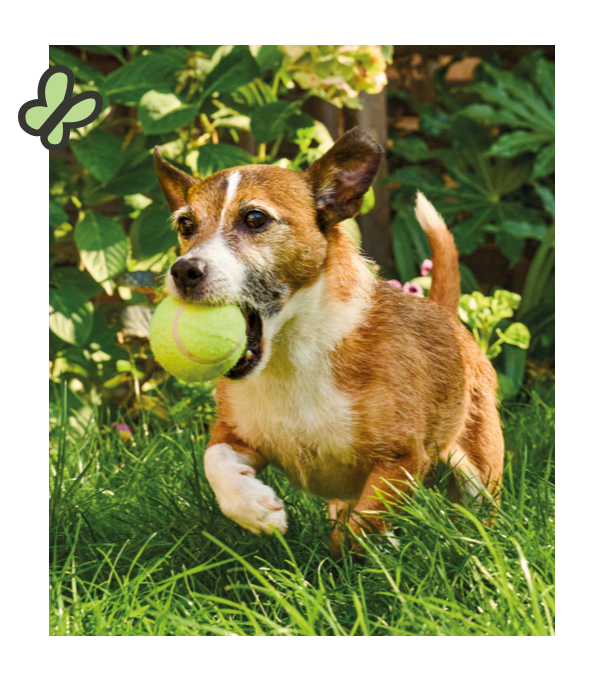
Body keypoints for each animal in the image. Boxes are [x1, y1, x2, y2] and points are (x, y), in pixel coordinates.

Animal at [153, 127, 502, 560]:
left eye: (255, 218)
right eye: (186, 224)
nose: (184, 270)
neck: (291, 351)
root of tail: (445, 315)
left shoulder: (401, 459)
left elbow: (357, 529)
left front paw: (358, 554)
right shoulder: (238, 434)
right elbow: (214, 461)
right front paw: (254, 507)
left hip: (478, 465)